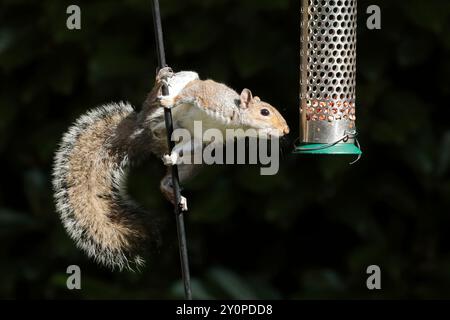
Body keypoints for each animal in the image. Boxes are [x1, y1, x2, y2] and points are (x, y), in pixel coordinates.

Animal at [52, 69, 290, 272]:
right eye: (265, 112)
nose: (286, 130)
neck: (236, 124)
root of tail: (141, 135)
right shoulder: (208, 95)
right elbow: (189, 94)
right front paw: (169, 100)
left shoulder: (202, 139)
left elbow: (191, 144)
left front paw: (174, 157)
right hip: (164, 103)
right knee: (153, 112)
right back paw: (160, 86)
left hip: (196, 159)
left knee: (165, 177)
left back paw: (173, 189)